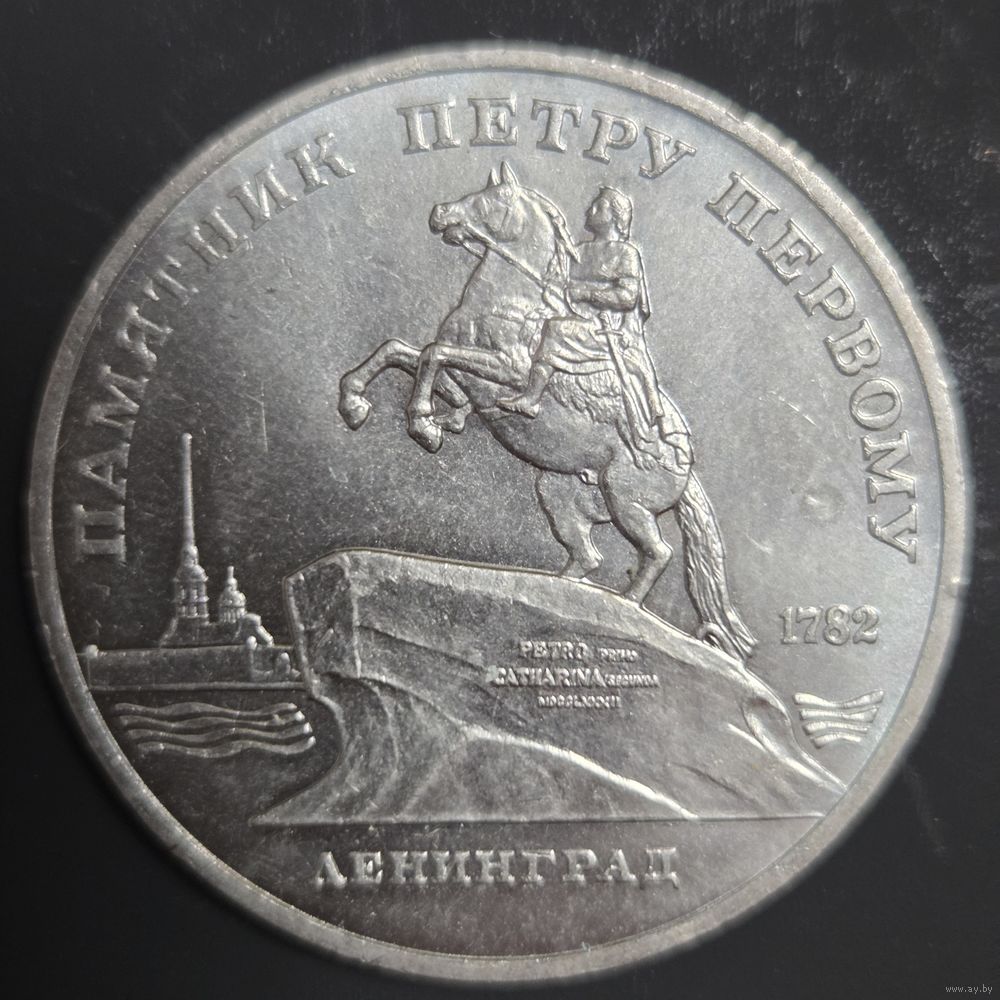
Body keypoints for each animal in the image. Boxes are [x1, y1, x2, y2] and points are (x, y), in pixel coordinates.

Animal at [338, 162, 756, 662]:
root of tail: (687, 464)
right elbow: (404, 352)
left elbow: (432, 356)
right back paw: (558, 590)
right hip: (561, 494)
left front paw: (423, 424)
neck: (510, 300)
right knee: (589, 556)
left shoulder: (506, 369)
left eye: (490, 199)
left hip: (627, 501)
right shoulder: (470, 375)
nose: (439, 214)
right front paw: (362, 403)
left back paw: (624, 607)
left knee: (658, 553)